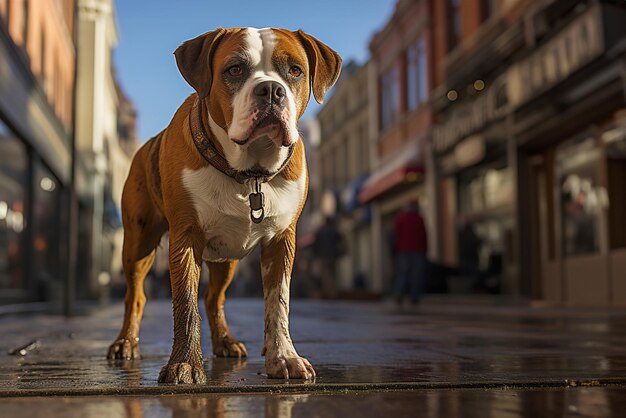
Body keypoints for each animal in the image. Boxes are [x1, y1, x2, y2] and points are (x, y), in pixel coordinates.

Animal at [107, 27, 342, 386]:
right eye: (234, 69)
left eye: (295, 71)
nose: (270, 90)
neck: (249, 173)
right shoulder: (186, 237)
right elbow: (185, 304)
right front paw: (185, 364)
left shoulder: (282, 241)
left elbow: (279, 302)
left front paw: (284, 357)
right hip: (138, 243)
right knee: (136, 294)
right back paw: (125, 343)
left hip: (226, 258)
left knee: (213, 298)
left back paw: (225, 342)